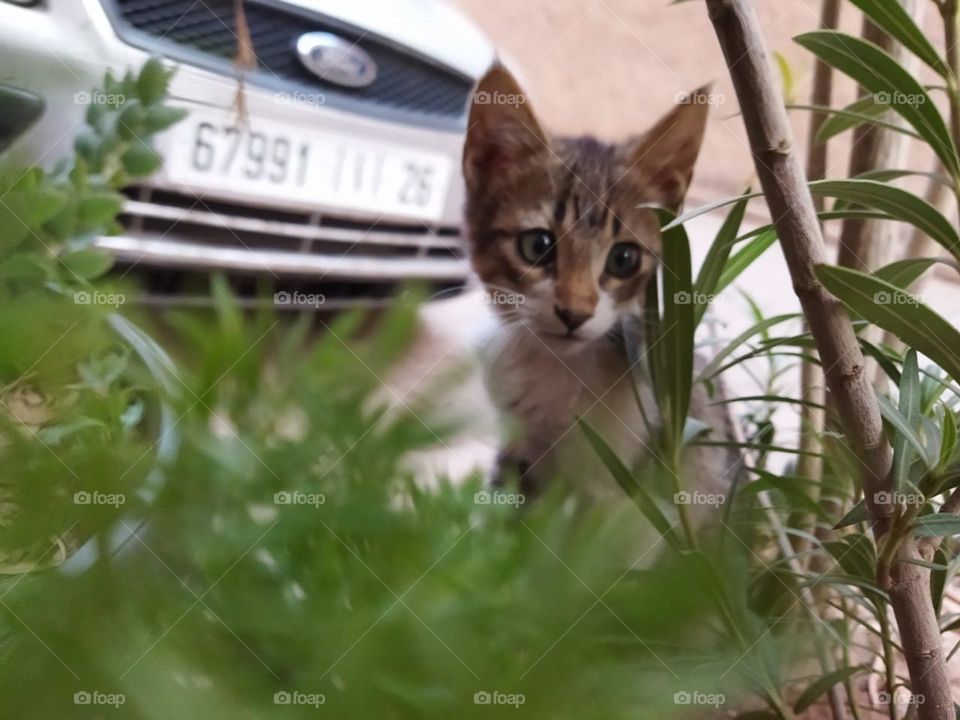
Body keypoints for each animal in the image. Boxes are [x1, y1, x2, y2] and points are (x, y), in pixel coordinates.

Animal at [462, 62, 740, 520]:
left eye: (623, 259)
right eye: (537, 246)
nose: (574, 313)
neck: (561, 374)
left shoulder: (617, 485)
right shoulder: (519, 454)